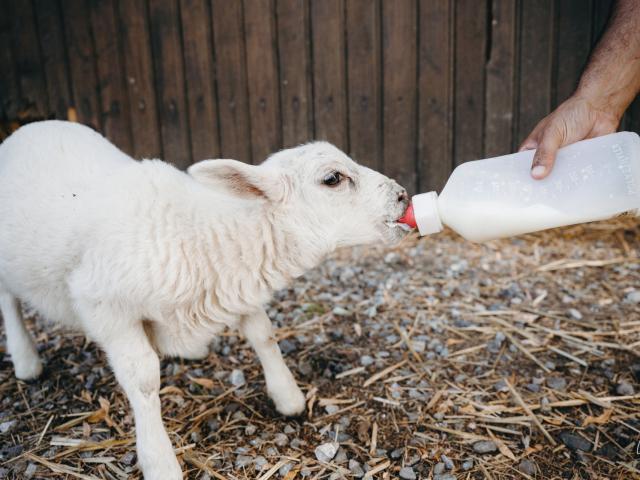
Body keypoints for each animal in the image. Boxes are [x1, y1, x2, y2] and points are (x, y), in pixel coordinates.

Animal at [0, 121, 410, 480]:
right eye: (333, 179)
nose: (403, 194)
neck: (200, 232)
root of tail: (32, 127)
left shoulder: (239, 284)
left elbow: (263, 334)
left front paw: (288, 396)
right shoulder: (103, 307)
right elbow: (143, 378)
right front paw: (159, 460)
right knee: (8, 300)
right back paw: (26, 360)